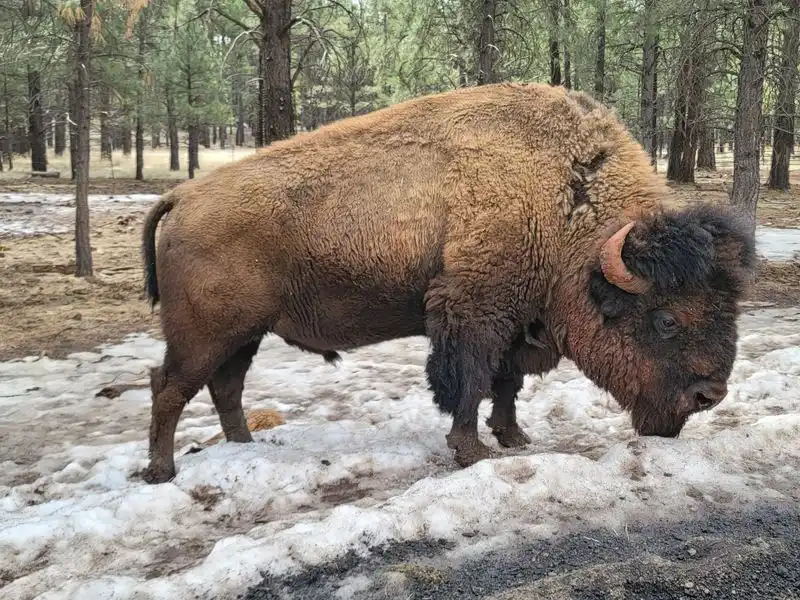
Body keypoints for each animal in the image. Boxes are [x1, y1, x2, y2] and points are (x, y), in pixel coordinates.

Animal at [139, 83, 755, 484]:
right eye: (667, 317)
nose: (709, 395)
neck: (567, 202)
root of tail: (183, 196)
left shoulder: (517, 321)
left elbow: (505, 385)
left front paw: (514, 437)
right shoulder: (474, 311)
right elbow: (471, 380)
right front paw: (472, 452)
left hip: (242, 335)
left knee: (225, 388)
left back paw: (246, 447)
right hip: (204, 335)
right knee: (169, 387)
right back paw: (161, 471)